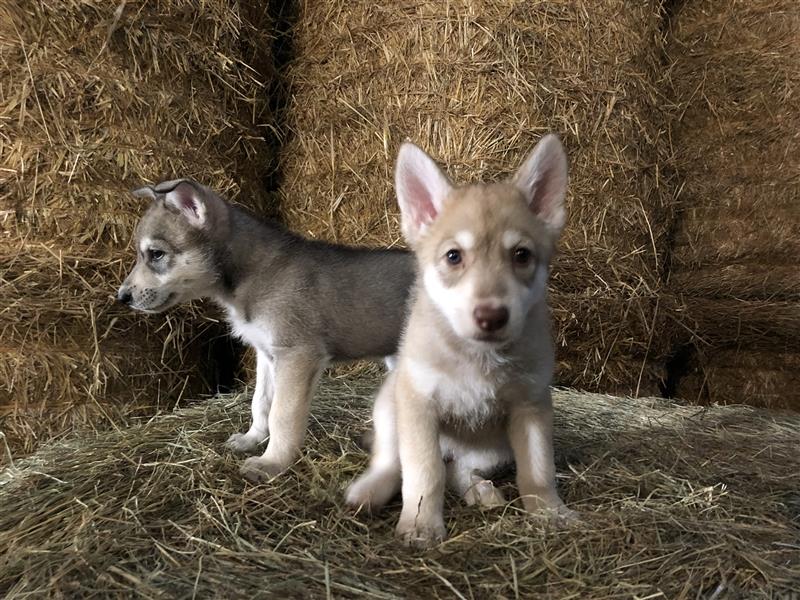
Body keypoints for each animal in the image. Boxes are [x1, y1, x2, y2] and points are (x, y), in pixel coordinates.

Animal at [122, 179, 418, 482]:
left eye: (156, 254)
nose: (122, 297)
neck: (250, 275)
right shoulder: (266, 354)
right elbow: (261, 402)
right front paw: (251, 439)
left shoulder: (297, 356)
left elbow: (282, 415)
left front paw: (272, 462)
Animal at [346, 134, 572, 548]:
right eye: (454, 256)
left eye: (521, 255)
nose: (492, 316)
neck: (478, 360)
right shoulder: (418, 405)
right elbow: (424, 473)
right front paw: (421, 525)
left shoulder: (531, 406)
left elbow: (538, 471)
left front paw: (550, 512)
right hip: (390, 407)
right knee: (393, 463)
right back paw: (368, 491)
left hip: (492, 448)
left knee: (458, 470)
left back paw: (480, 491)